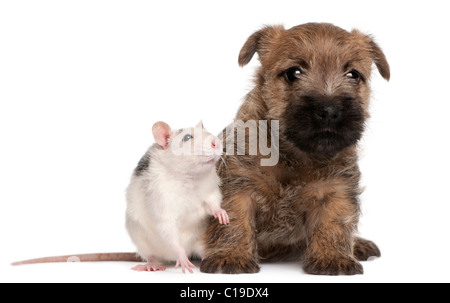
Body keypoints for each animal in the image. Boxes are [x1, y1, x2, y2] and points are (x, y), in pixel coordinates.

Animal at [200, 22, 390, 276]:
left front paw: (331, 257)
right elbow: (233, 219)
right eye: (293, 73)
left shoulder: (336, 189)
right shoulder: (238, 184)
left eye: (353, 75)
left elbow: (334, 223)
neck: (295, 155)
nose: (329, 111)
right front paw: (232, 255)